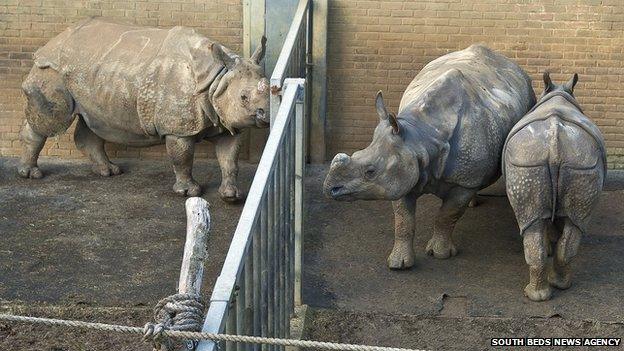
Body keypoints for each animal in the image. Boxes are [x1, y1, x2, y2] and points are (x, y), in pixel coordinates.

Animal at [18, 18, 268, 201]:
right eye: (244, 97)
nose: (266, 113)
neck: (218, 78)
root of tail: (53, 40)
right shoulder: (177, 129)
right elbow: (183, 158)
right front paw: (188, 192)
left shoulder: (226, 121)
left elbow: (230, 159)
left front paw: (232, 195)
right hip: (51, 69)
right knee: (51, 121)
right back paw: (31, 175)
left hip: (93, 71)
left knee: (94, 120)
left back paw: (109, 171)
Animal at [324, 44, 532, 270]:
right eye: (356, 153)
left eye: (370, 171)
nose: (330, 188)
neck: (421, 137)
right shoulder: (402, 171)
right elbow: (403, 221)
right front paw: (399, 263)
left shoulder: (462, 183)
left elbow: (447, 215)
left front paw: (441, 254)